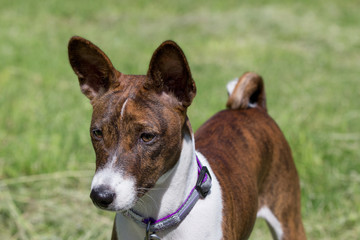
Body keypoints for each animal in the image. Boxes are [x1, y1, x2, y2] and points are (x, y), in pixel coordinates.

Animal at [68, 36, 306, 240]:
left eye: (147, 136)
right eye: (97, 133)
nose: (101, 196)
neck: (156, 221)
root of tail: (254, 108)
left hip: (289, 221)